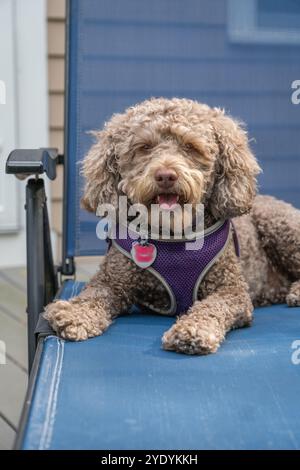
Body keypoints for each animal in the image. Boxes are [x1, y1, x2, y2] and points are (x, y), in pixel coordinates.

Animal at [44, 100, 300, 356]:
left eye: (191, 147)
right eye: (145, 147)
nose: (166, 175)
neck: (173, 234)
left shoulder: (232, 290)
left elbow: (211, 306)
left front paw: (192, 330)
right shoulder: (112, 281)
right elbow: (93, 294)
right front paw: (74, 313)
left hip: (280, 226)